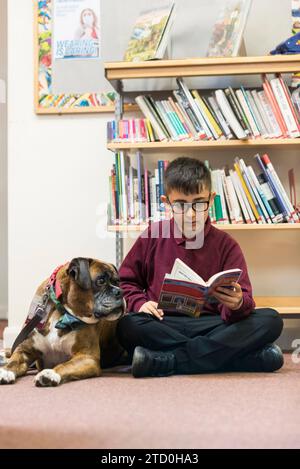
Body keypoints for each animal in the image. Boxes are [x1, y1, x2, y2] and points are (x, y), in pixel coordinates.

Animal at [0, 258, 126, 386]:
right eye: (101, 281)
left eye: (118, 282)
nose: (120, 292)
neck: (61, 312)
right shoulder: (24, 351)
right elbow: (13, 361)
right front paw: (5, 370)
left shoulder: (87, 357)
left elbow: (66, 365)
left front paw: (50, 374)